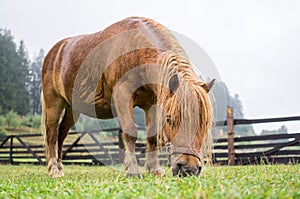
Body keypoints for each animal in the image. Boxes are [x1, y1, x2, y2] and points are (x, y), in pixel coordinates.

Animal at [42, 16, 214, 177]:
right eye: (169, 120)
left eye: (205, 122)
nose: (188, 168)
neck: (136, 50)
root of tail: (54, 52)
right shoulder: (123, 95)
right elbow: (130, 132)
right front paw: (132, 170)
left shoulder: (152, 102)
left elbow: (152, 136)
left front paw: (154, 169)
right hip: (54, 104)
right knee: (52, 134)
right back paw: (53, 169)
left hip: (72, 109)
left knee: (62, 133)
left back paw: (60, 167)